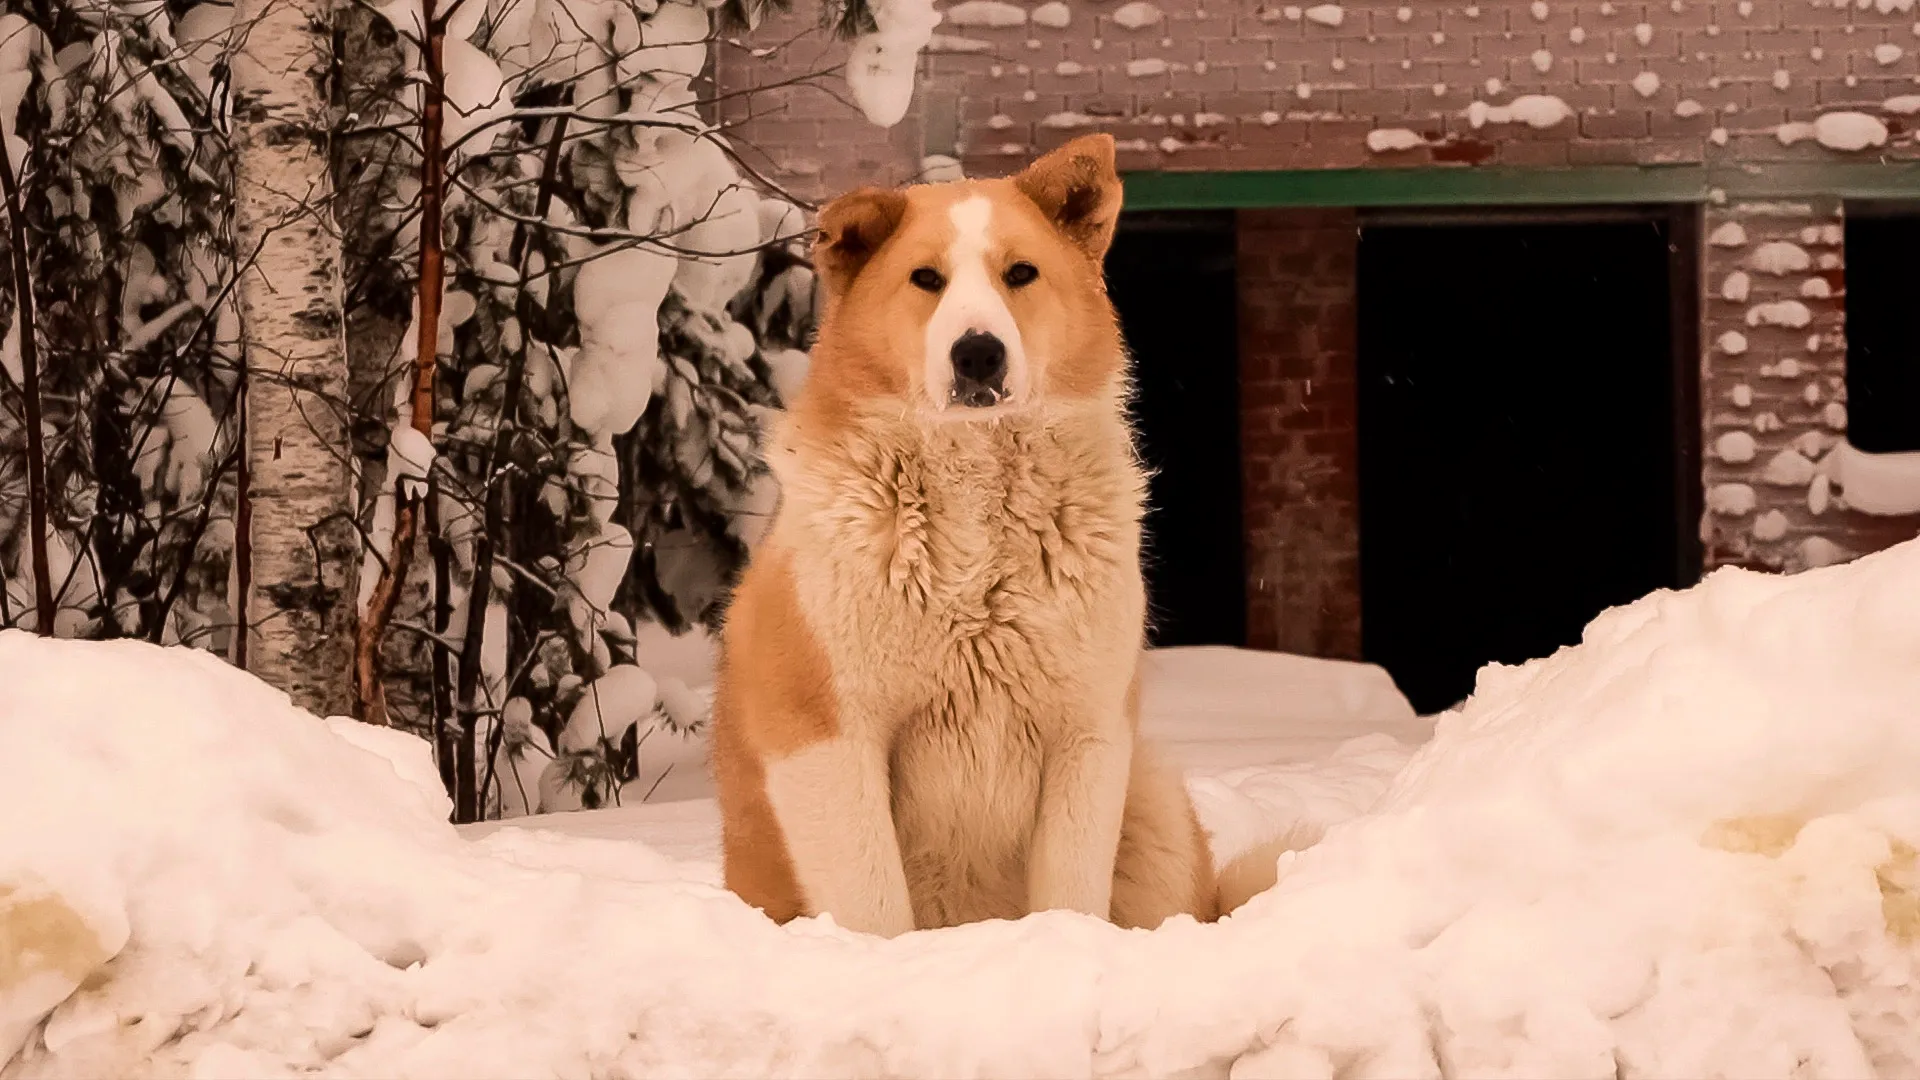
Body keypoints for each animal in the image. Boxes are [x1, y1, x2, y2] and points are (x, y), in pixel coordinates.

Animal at [710, 136, 1290, 933]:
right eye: (926, 279)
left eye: (1021, 273)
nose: (978, 353)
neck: (974, 500)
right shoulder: (825, 735)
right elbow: (875, 906)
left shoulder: (1085, 732)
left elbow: (1069, 894)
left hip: (1152, 805)